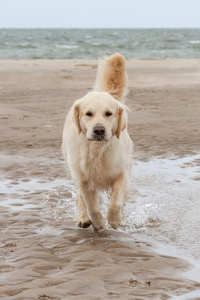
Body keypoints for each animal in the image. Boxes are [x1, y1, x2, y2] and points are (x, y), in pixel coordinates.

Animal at [61, 53, 132, 232]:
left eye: (108, 113)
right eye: (88, 114)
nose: (99, 130)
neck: (97, 150)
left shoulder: (122, 172)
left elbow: (116, 201)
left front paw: (114, 220)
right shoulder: (83, 178)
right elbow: (91, 205)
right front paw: (98, 223)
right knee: (80, 198)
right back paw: (83, 219)